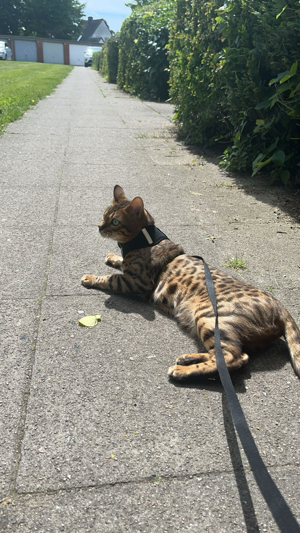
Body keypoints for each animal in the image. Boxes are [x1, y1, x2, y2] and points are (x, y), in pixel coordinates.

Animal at [81, 185, 300, 380]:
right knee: (236, 356)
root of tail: (280, 306)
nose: (99, 227)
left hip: (209, 316)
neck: (145, 240)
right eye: (104, 215)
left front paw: (90, 278)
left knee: (232, 358)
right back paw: (188, 358)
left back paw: (182, 371)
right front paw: (112, 257)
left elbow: (111, 279)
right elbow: (120, 262)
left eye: (115, 221)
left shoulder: (136, 282)